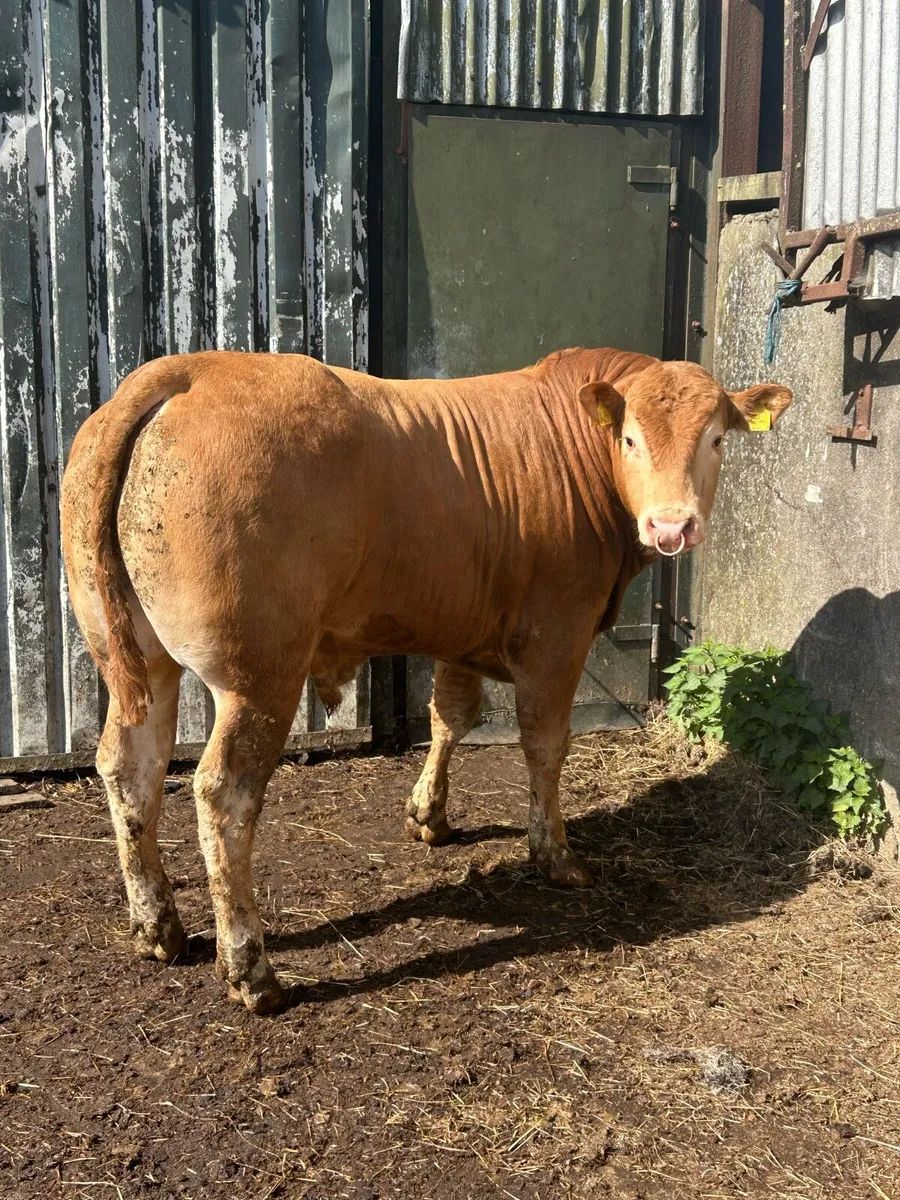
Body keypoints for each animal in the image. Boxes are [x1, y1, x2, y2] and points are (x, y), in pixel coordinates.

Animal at [61, 347, 792, 1013]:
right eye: (632, 439)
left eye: (716, 437)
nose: (672, 525)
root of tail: (186, 370)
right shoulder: (558, 632)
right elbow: (544, 745)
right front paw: (554, 854)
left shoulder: (461, 627)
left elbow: (451, 716)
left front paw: (429, 815)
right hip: (259, 673)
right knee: (223, 792)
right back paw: (251, 969)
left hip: (134, 657)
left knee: (130, 768)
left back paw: (158, 928)